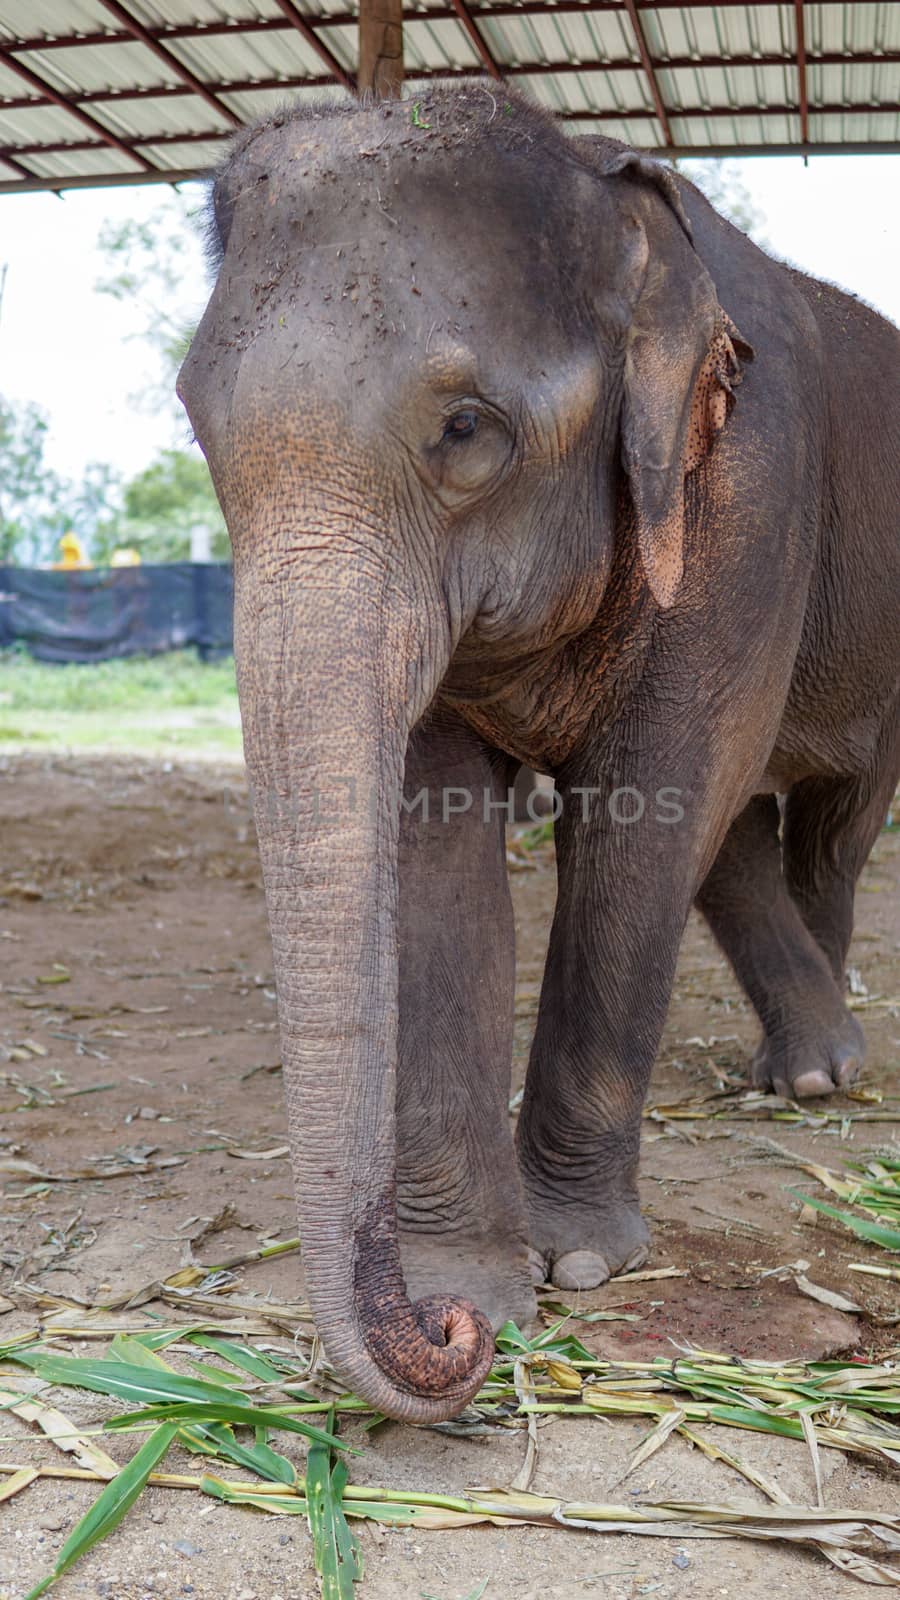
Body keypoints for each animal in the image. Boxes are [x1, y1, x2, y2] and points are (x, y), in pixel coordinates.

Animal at [176, 87, 896, 1427]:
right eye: (199, 426)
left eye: (467, 429)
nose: (440, 1332)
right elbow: (435, 845)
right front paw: (482, 1284)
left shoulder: (750, 496)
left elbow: (644, 818)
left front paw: (577, 1264)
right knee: (754, 834)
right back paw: (797, 1067)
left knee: (832, 823)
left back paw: (823, 1076)